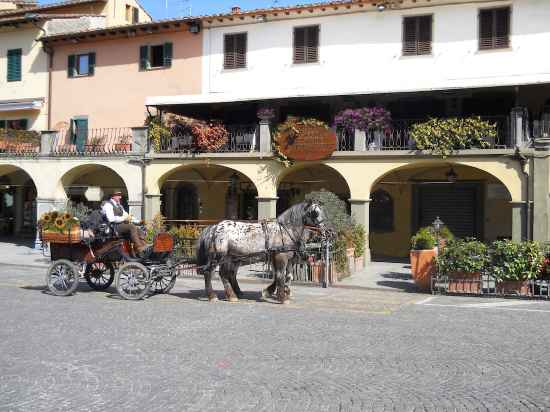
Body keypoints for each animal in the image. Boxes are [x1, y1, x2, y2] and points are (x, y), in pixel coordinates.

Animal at [196, 201, 330, 304]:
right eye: (315, 213)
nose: (328, 231)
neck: (285, 231)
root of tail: (213, 228)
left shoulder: (284, 258)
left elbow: (285, 276)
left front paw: (271, 292)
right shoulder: (281, 257)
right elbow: (280, 276)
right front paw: (282, 297)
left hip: (230, 258)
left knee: (227, 274)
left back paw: (233, 294)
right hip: (218, 257)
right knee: (211, 273)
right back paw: (214, 296)